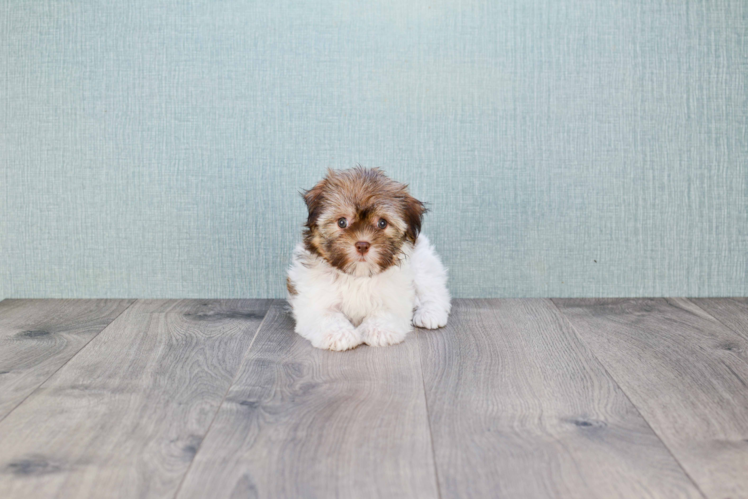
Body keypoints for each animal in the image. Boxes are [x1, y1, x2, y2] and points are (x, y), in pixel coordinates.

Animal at [286, 166, 450, 350]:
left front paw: (379, 330)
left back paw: (429, 314)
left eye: (382, 223)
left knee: (434, 291)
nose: (362, 245)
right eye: (342, 222)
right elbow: (327, 315)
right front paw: (339, 334)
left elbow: (385, 311)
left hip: (423, 261)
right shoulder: (314, 299)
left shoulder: (395, 296)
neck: (358, 276)